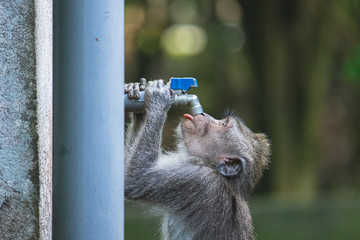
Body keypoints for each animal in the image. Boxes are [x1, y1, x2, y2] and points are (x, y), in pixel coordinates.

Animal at [125, 79, 268, 239]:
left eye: (223, 124)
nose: (204, 114)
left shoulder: (197, 180)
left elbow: (137, 179)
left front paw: (159, 97)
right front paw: (137, 93)